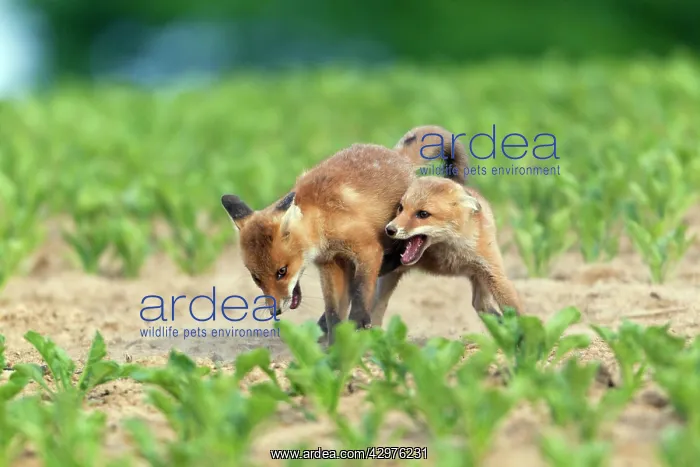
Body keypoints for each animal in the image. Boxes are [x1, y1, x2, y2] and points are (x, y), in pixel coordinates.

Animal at [220, 125, 469, 343]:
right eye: (256, 278)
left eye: (282, 271)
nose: (276, 311)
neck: (323, 221)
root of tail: (397, 155)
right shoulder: (330, 264)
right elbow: (333, 311)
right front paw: (335, 345)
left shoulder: (367, 249)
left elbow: (360, 292)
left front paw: (358, 323)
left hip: (396, 233)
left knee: (394, 262)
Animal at [369, 175, 524, 328]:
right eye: (401, 208)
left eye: (423, 214)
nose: (389, 229)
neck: (448, 255)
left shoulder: (493, 272)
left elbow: (518, 312)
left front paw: (524, 333)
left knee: (482, 307)